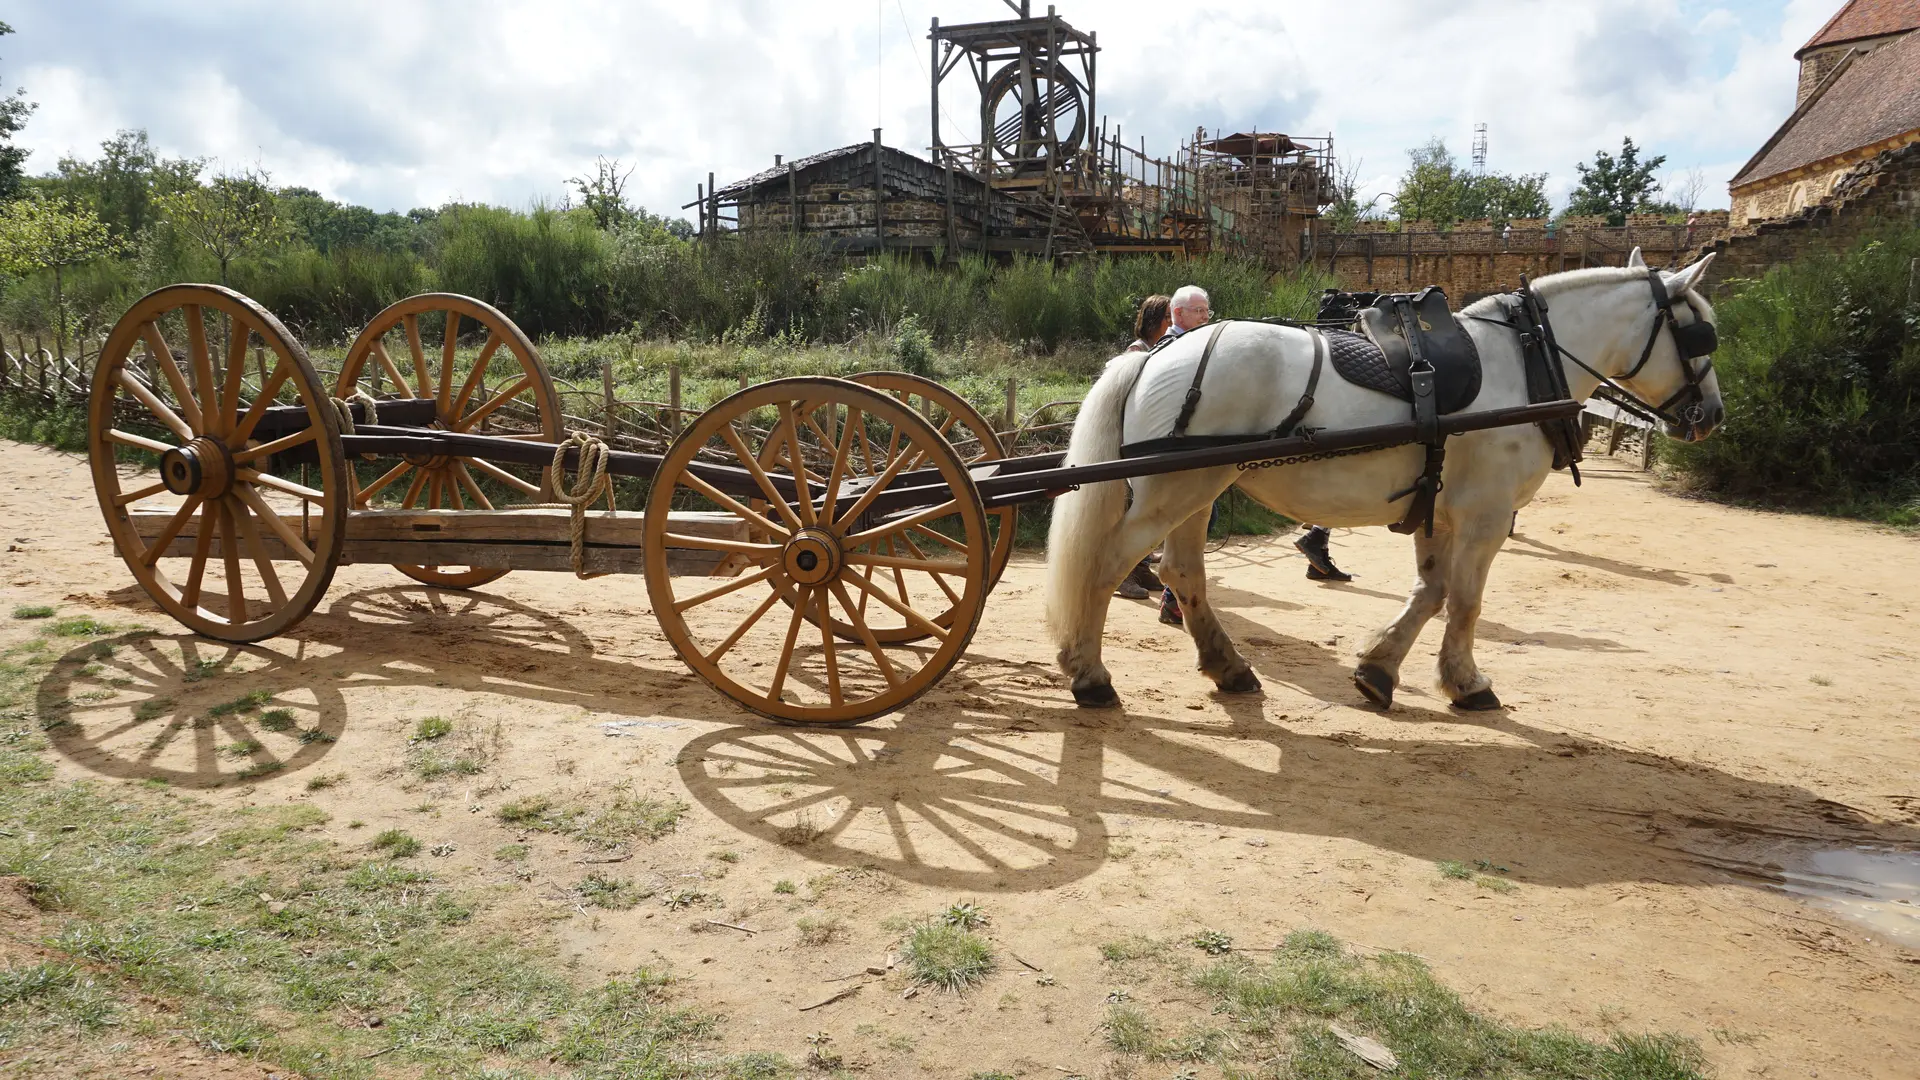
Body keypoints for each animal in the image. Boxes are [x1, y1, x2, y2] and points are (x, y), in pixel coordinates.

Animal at [1052, 247, 1728, 711]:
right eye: (1699, 333)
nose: (1713, 416)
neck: (1526, 362)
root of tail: (1157, 354)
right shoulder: (1485, 516)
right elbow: (1466, 601)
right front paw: (1467, 682)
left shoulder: (1437, 508)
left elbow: (1431, 593)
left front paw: (1379, 670)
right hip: (1176, 491)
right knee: (1106, 565)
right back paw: (1089, 674)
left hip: (1198, 487)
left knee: (1182, 573)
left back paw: (1229, 668)